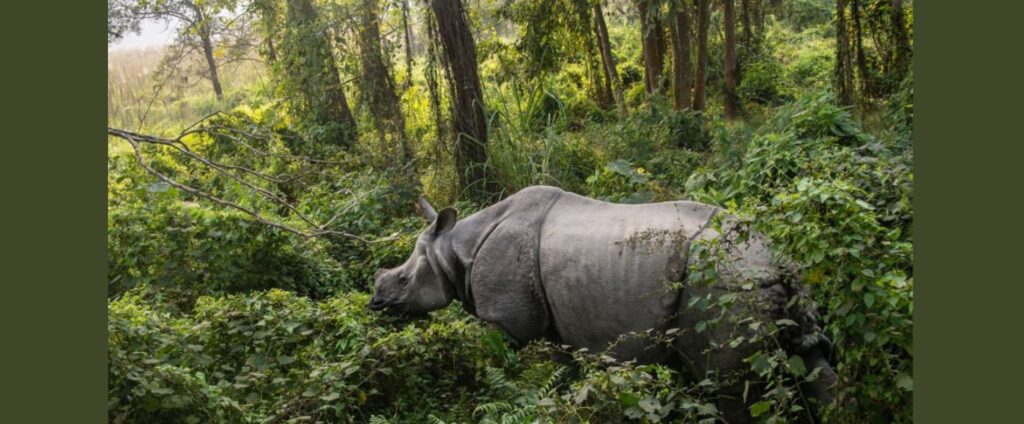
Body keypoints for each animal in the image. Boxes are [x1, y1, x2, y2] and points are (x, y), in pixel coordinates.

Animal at [369, 185, 836, 422]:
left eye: (404, 280)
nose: (376, 300)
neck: (455, 250)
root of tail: (779, 258)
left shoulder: (505, 323)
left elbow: (497, 366)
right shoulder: (556, 328)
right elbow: (561, 376)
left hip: (725, 279)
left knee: (725, 383)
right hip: (757, 277)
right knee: (810, 360)